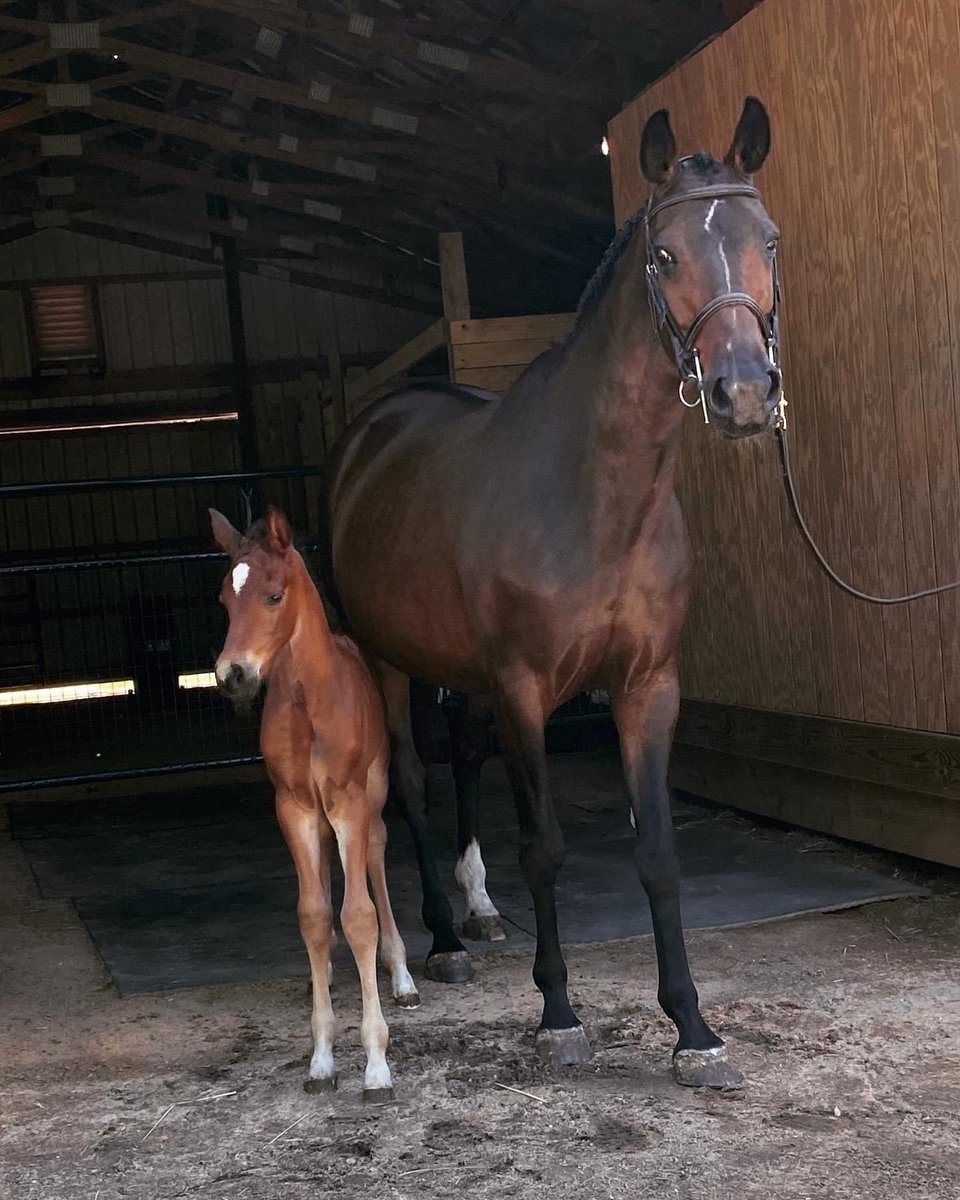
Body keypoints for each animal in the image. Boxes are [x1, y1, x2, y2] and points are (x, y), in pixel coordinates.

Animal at [210, 505, 419, 1102]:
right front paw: (322, 1056)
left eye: (274, 595)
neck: (309, 702)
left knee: (376, 854)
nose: (232, 674)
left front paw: (376, 1063)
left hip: (372, 794)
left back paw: (401, 975)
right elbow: (314, 914)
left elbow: (359, 916)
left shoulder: (349, 801)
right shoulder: (294, 806)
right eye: (224, 599)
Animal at [325, 97, 782, 1088]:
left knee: (460, 755)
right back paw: (444, 939)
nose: (742, 393)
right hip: (384, 658)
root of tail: (379, 424)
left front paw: (693, 1029)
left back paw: (479, 910)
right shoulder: (526, 687)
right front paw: (560, 1014)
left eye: (768, 239)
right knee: (410, 781)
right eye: (664, 255)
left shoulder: (648, 684)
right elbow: (545, 847)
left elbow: (657, 851)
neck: (596, 491)